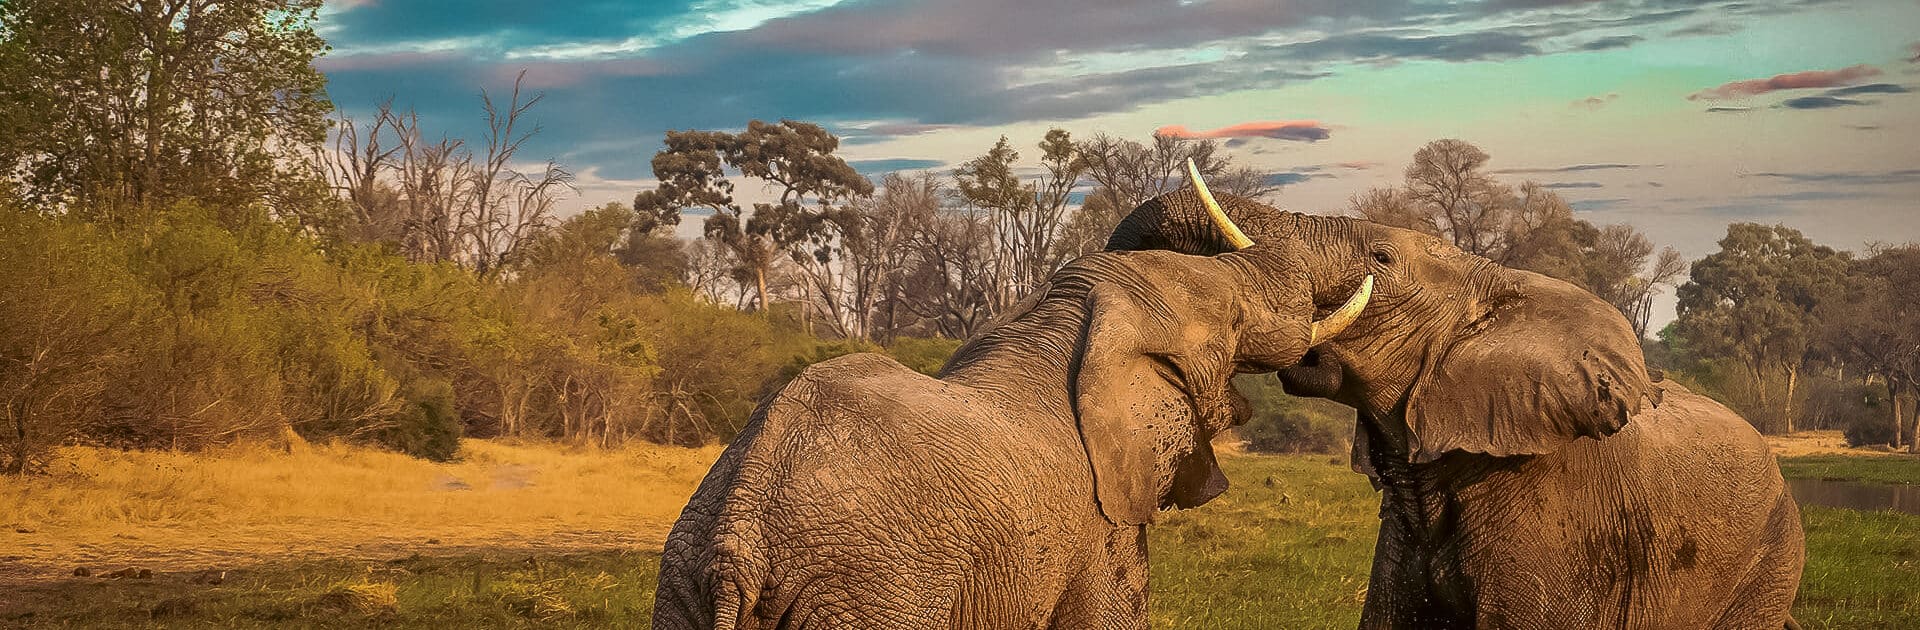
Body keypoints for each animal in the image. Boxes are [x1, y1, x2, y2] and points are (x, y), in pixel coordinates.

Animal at [650, 167, 1374, 629]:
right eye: (1231, 318)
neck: (1068, 322)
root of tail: (738, 543)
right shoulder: (1100, 522)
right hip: (868, 593)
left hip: (684, 584)